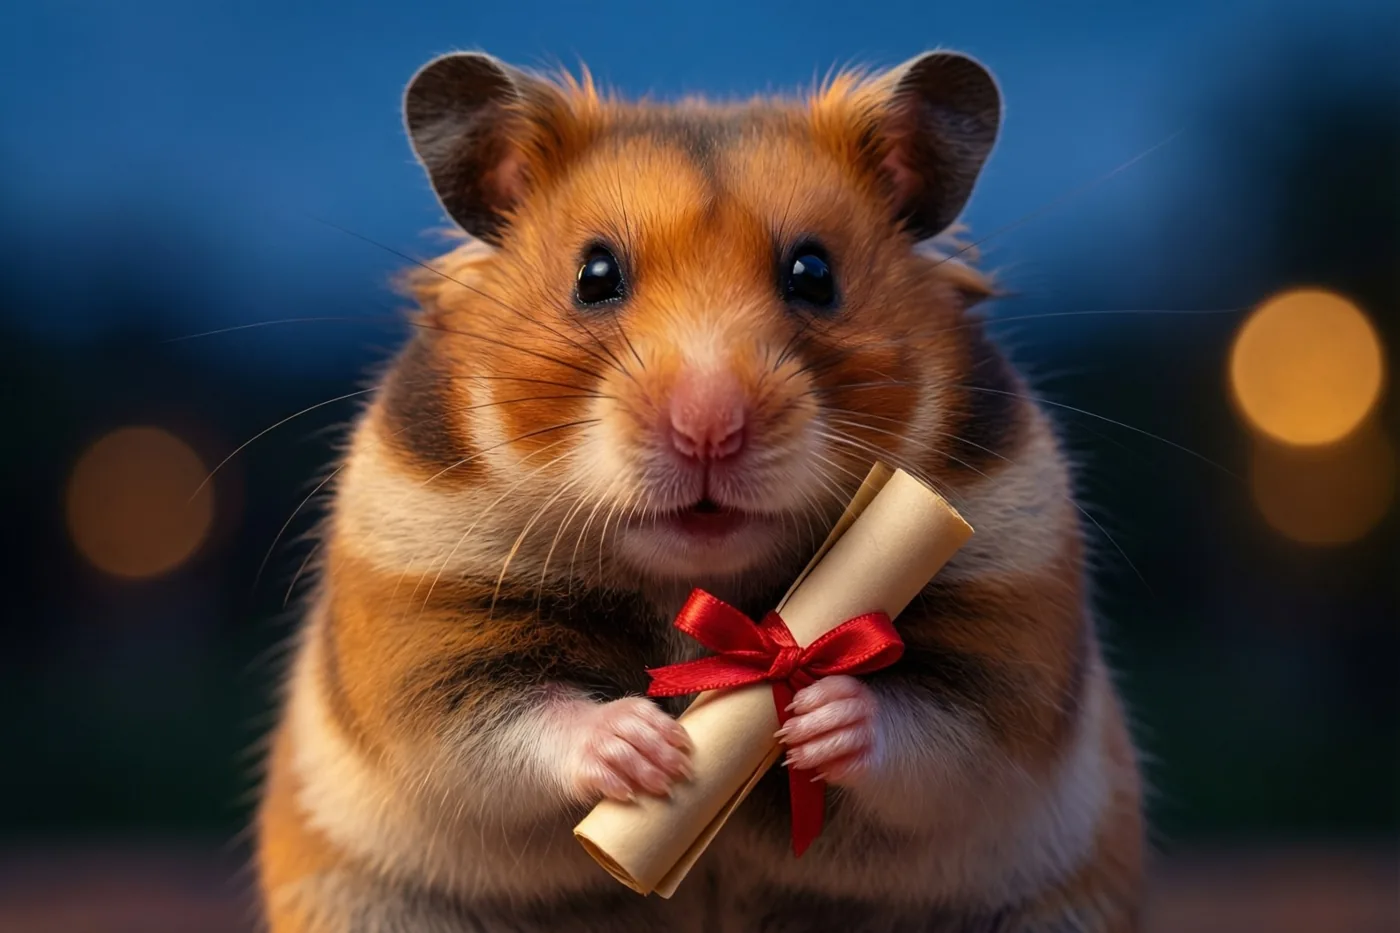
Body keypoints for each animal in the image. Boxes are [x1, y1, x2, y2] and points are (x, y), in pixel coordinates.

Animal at [255, 50, 1144, 932]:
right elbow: (501, 720)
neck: (696, 580)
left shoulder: (1011, 614)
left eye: (814, 273)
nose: (709, 429)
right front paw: (642, 746)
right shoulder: (421, 620)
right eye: (595, 275)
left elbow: (941, 731)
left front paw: (823, 714)